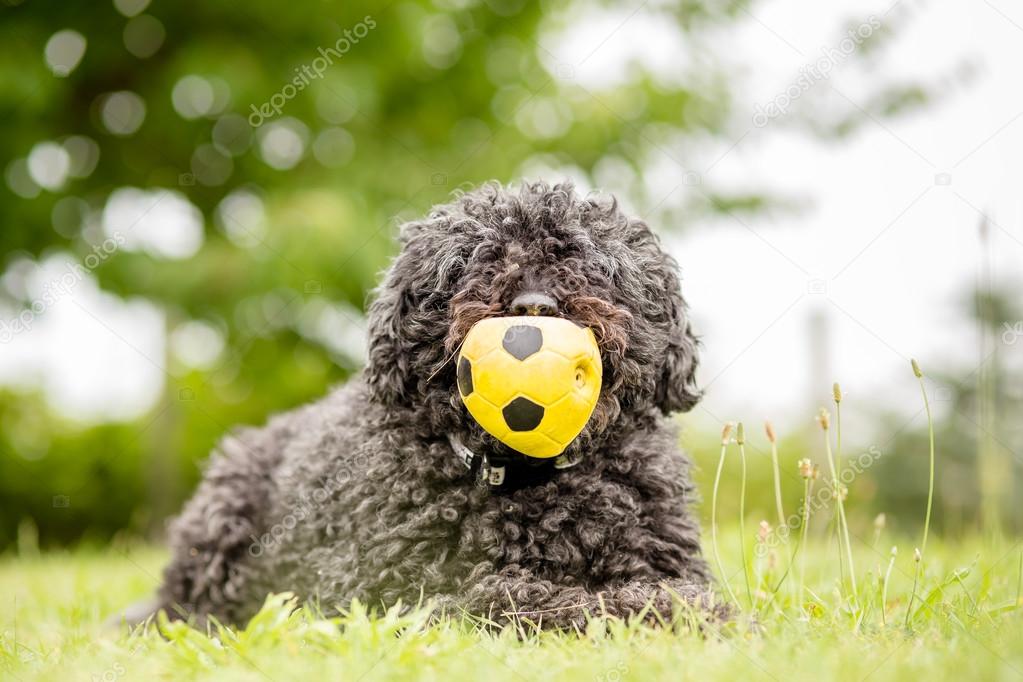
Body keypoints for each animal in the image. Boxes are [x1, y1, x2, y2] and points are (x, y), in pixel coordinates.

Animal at [155, 179, 716, 629]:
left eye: (593, 266)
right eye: (480, 263)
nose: (534, 306)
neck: (527, 478)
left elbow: (675, 587)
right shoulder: (391, 592)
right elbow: (510, 594)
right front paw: (620, 607)